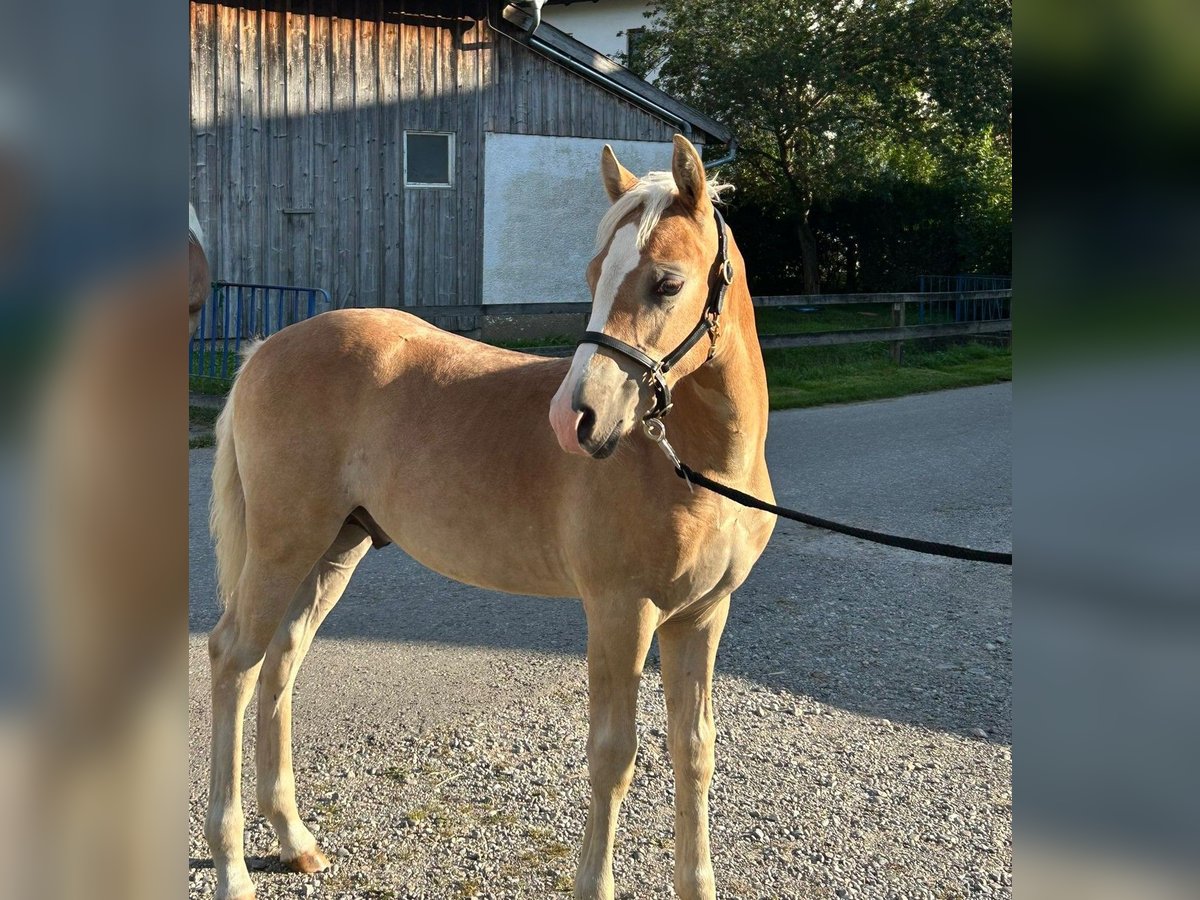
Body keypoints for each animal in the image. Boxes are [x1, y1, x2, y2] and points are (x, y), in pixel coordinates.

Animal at [206, 135, 777, 900]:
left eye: (667, 283)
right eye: (595, 273)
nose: (575, 420)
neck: (697, 467)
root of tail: (263, 348)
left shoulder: (701, 616)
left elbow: (694, 751)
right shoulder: (621, 612)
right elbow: (613, 756)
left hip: (332, 550)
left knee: (281, 662)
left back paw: (294, 840)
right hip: (281, 546)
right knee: (233, 661)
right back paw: (233, 866)